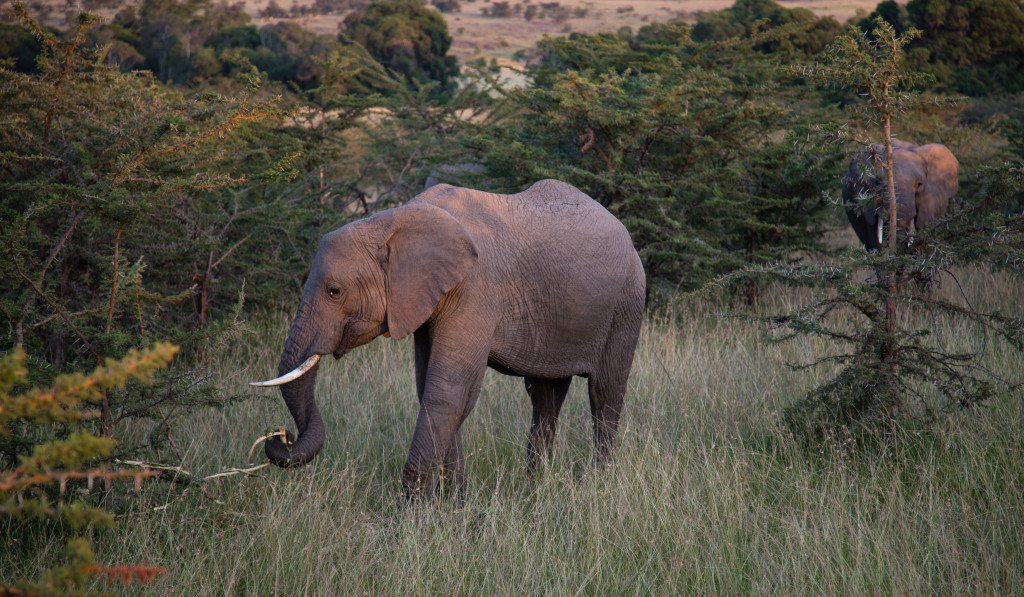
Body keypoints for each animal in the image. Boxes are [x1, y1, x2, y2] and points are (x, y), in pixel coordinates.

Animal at [250, 180, 643, 497]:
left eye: (334, 291)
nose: (278, 434)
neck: (392, 221)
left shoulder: (475, 290)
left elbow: (447, 391)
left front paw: (411, 513)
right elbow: (436, 389)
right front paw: (457, 502)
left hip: (627, 303)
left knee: (604, 393)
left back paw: (597, 483)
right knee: (545, 397)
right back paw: (536, 485)